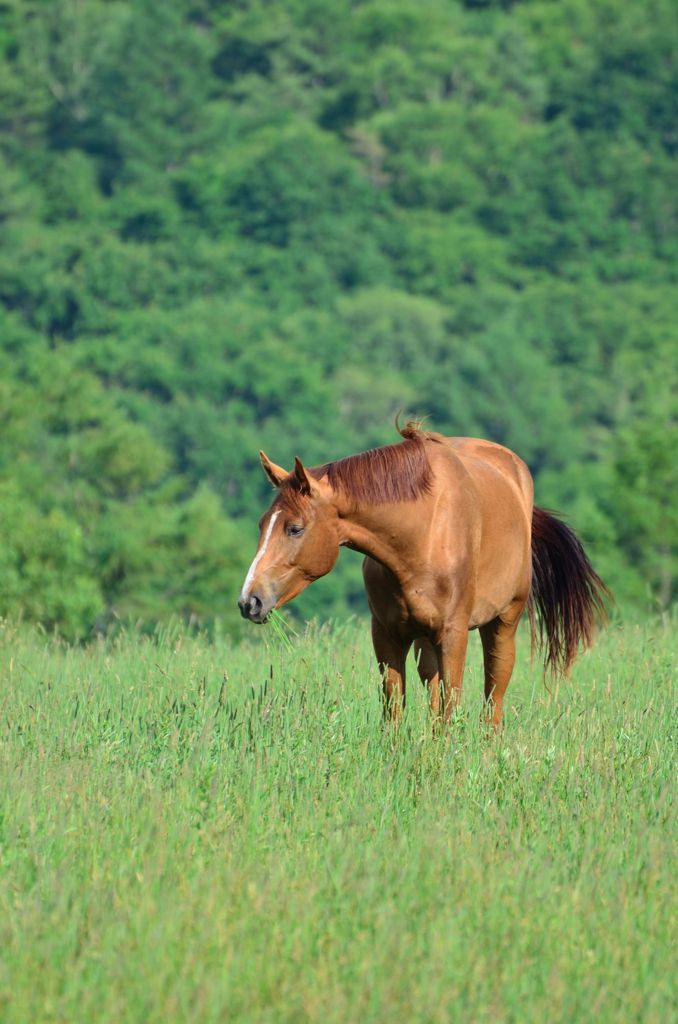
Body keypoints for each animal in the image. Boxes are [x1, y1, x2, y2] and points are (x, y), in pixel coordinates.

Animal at [238, 423, 610, 729]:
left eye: (295, 528)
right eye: (261, 524)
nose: (249, 601)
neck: (422, 535)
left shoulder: (453, 635)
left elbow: (450, 710)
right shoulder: (387, 636)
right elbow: (395, 713)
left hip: (502, 624)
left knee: (493, 704)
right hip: (424, 642)